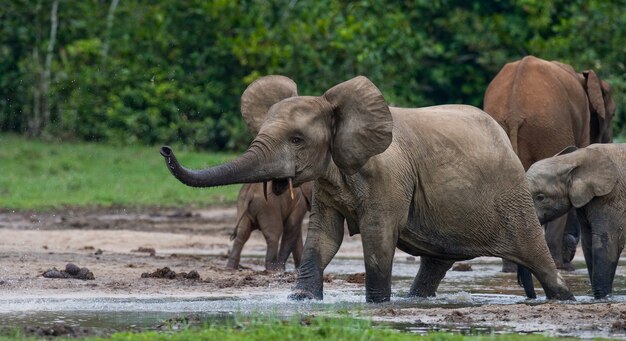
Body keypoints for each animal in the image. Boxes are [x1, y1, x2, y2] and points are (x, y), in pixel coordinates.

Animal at [160, 75, 572, 302]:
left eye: (296, 139)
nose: (165, 149)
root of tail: (503, 138)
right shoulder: (328, 180)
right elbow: (324, 237)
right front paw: (300, 299)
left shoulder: (387, 179)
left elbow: (377, 237)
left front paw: (376, 304)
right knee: (436, 261)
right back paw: (415, 299)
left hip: (511, 194)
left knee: (535, 253)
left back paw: (563, 297)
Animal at [528, 143, 624, 298]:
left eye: (541, 197)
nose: (532, 296)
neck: (574, 159)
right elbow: (587, 243)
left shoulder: (612, 196)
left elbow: (607, 242)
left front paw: (602, 297)